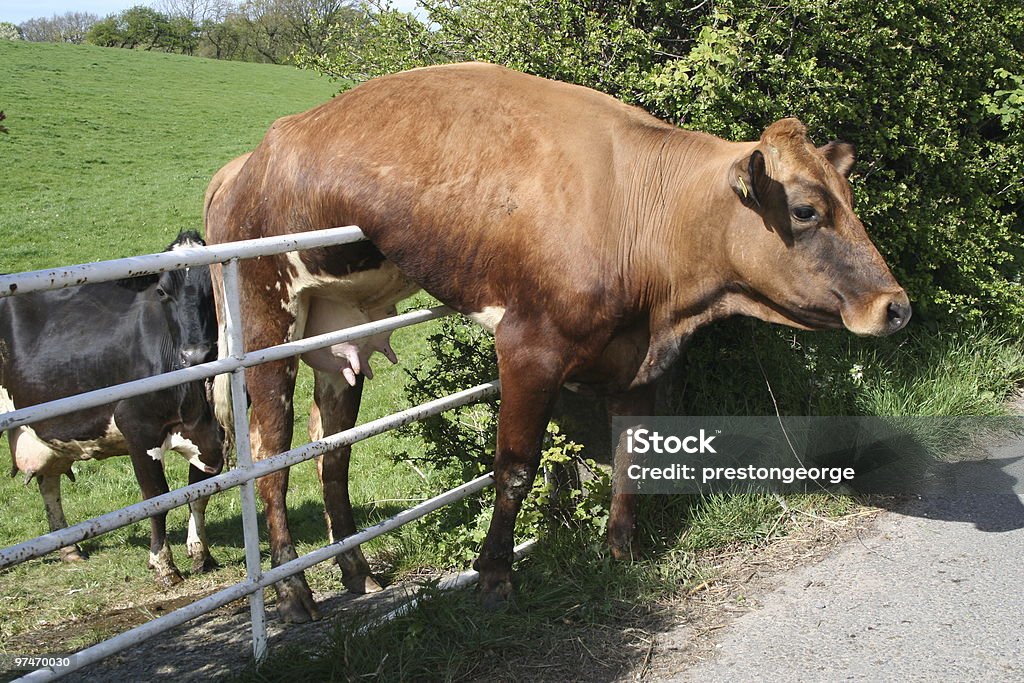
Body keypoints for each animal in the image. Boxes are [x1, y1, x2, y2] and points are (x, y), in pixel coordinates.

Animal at [2, 232, 226, 585]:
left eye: (214, 287)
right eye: (162, 292)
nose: (196, 354)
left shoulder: (214, 434)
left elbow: (199, 492)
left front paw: (201, 554)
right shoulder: (136, 426)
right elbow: (157, 497)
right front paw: (163, 564)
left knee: (48, 481)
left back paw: (69, 549)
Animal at [203, 61, 909, 622]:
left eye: (848, 199)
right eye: (806, 211)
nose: (895, 306)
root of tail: (245, 164)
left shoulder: (638, 363)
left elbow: (630, 456)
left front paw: (620, 552)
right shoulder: (529, 347)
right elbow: (514, 467)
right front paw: (494, 576)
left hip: (338, 332)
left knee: (332, 453)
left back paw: (359, 573)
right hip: (265, 322)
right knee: (269, 459)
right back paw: (294, 595)